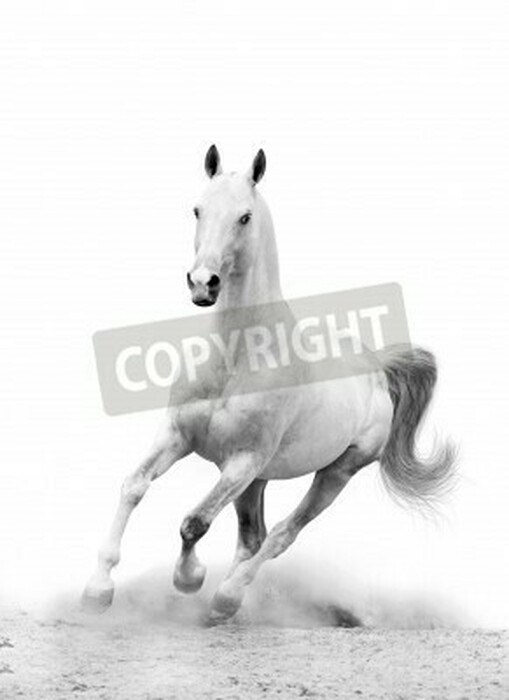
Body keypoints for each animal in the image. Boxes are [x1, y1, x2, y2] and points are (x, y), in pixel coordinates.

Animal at [82, 145, 456, 623]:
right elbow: (134, 486)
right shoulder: (178, 436)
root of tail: (376, 367)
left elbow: (195, 522)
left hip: (335, 472)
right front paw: (98, 589)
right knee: (253, 537)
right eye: (197, 209)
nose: (203, 283)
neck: (234, 358)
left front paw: (190, 578)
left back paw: (227, 597)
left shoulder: (242, 460)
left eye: (244, 217)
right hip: (258, 481)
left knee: (281, 535)